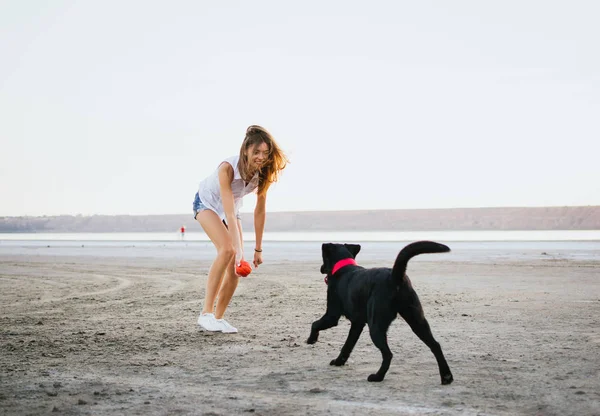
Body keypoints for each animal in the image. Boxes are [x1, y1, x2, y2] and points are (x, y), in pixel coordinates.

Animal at [308, 240, 452, 384]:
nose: (321, 268)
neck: (343, 267)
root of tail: (395, 277)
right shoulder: (357, 324)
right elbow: (348, 345)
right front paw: (339, 361)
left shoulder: (332, 315)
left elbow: (315, 324)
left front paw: (311, 339)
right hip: (417, 321)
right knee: (435, 345)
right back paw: (446, 376)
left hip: (376, 326)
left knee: (388, 354)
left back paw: (378, 376)